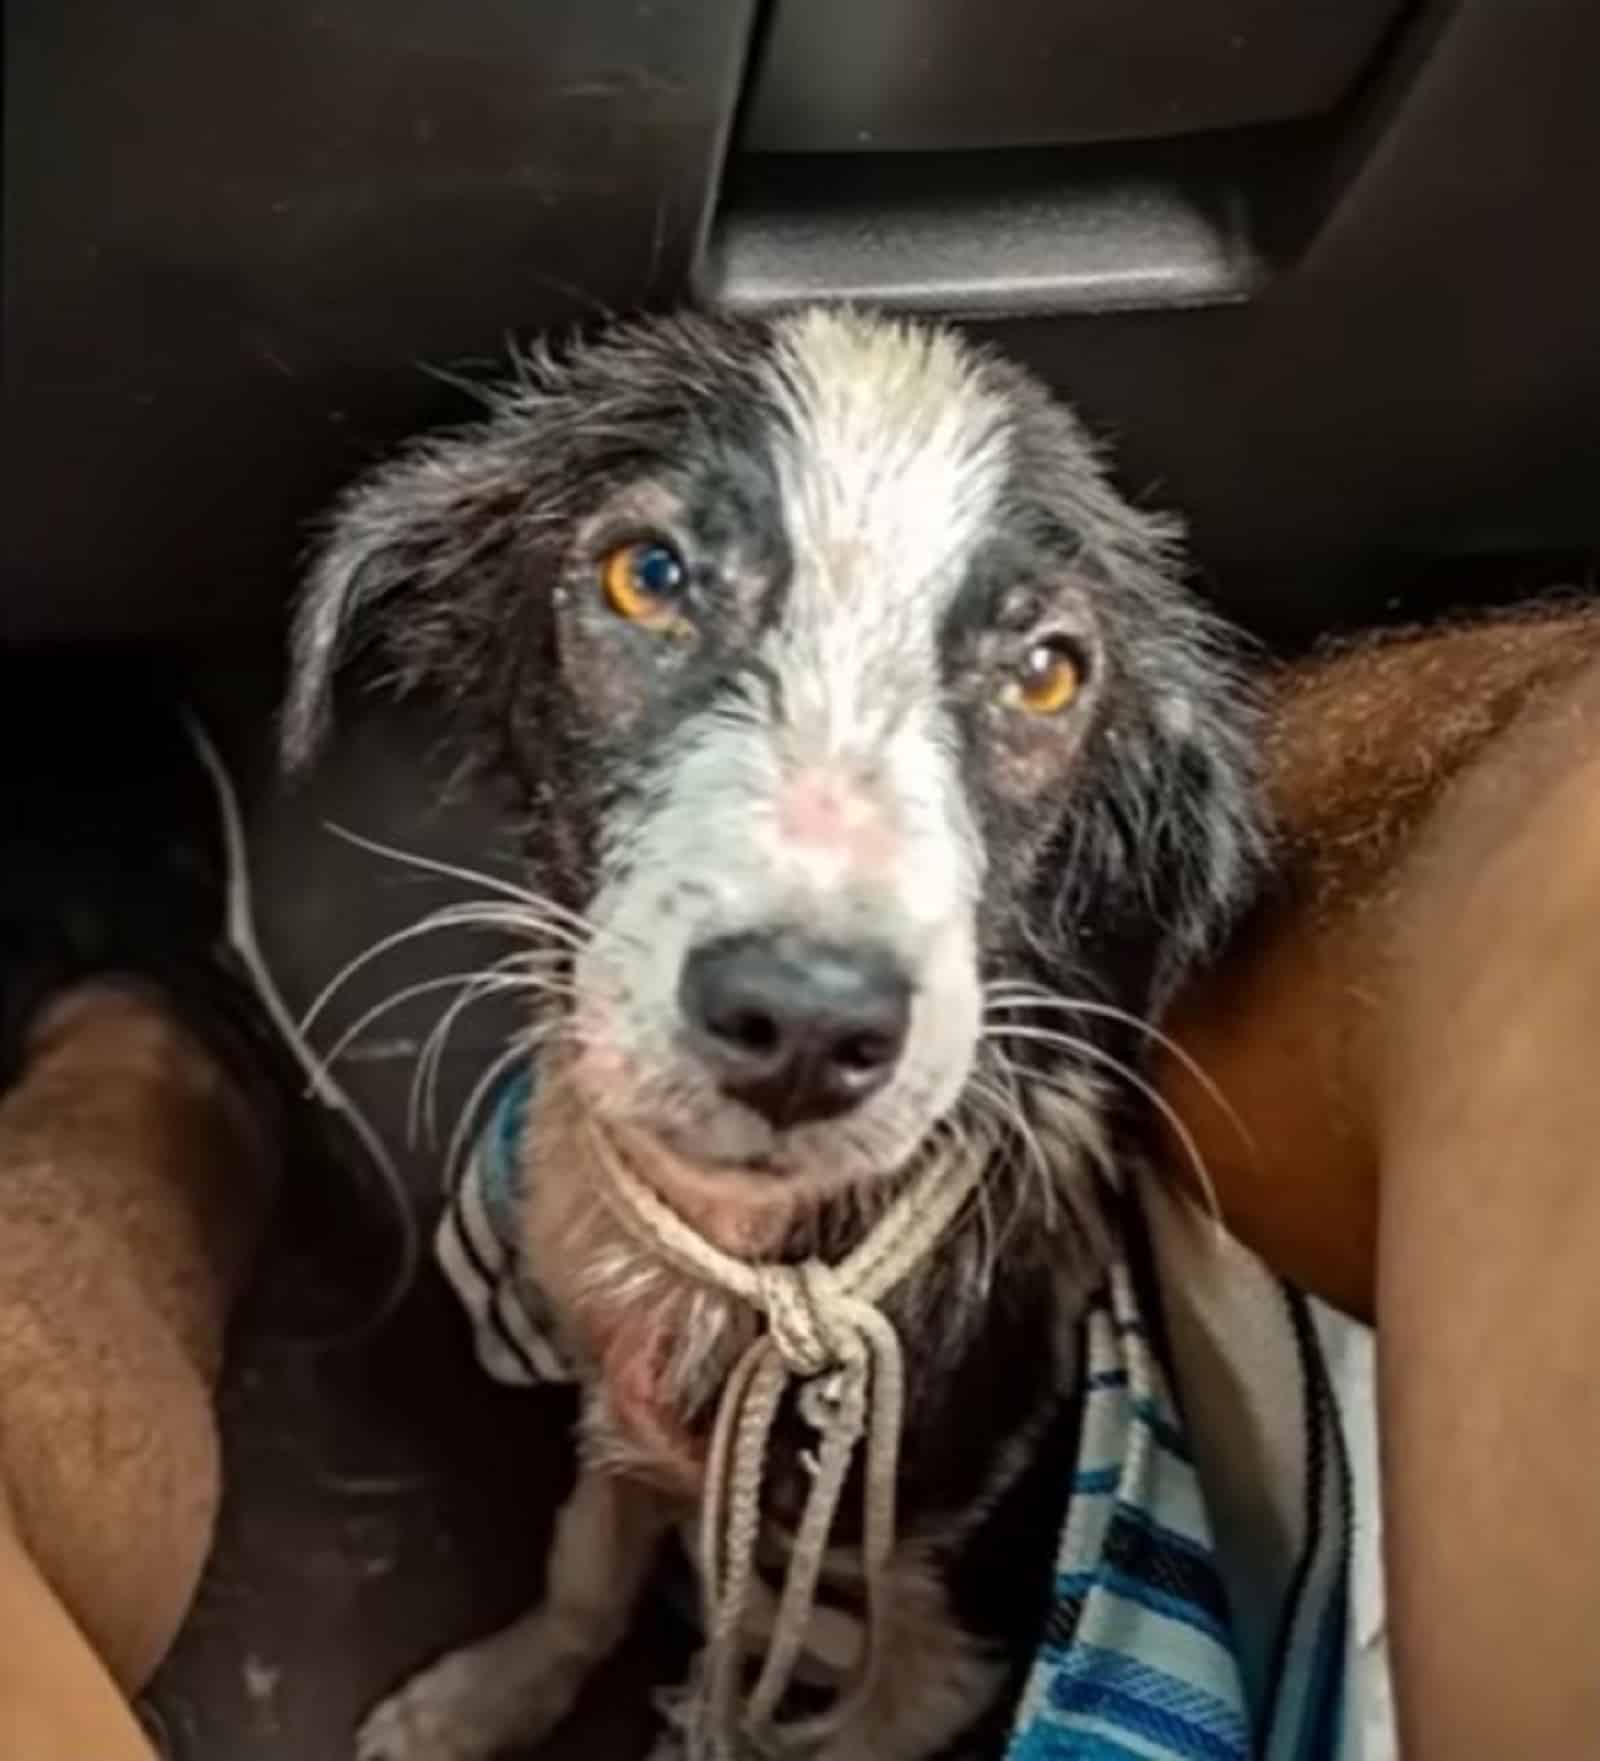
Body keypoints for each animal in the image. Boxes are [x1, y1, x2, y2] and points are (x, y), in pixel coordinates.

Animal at [283, 306, 1260, 1761]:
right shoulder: (626, 1430)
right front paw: (486, 1696)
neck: (760, 1267)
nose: (804, 1018)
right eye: (647, 575)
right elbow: (583, 1573)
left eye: (1046, 673)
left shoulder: (956, 1645)